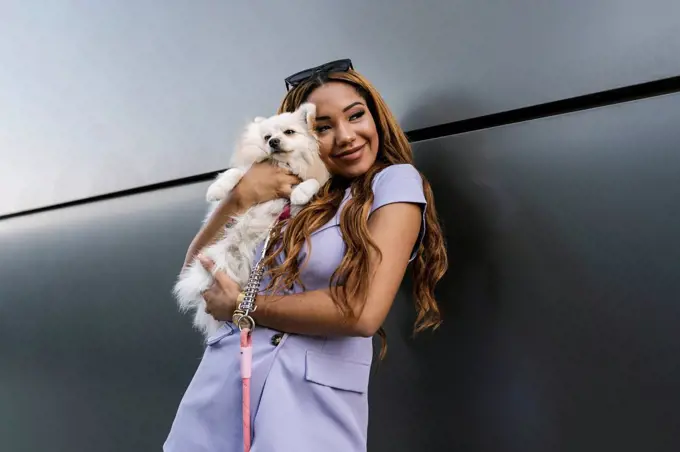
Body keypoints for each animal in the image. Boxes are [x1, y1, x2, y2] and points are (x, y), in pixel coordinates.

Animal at [174, 104, 330, 340]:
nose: (273, 141)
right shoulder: (249, 172)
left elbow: (311, 182)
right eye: (267, 137)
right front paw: (217, 189)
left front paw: (301, 192)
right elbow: (236, 173)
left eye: (289, 132)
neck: (284, 163)